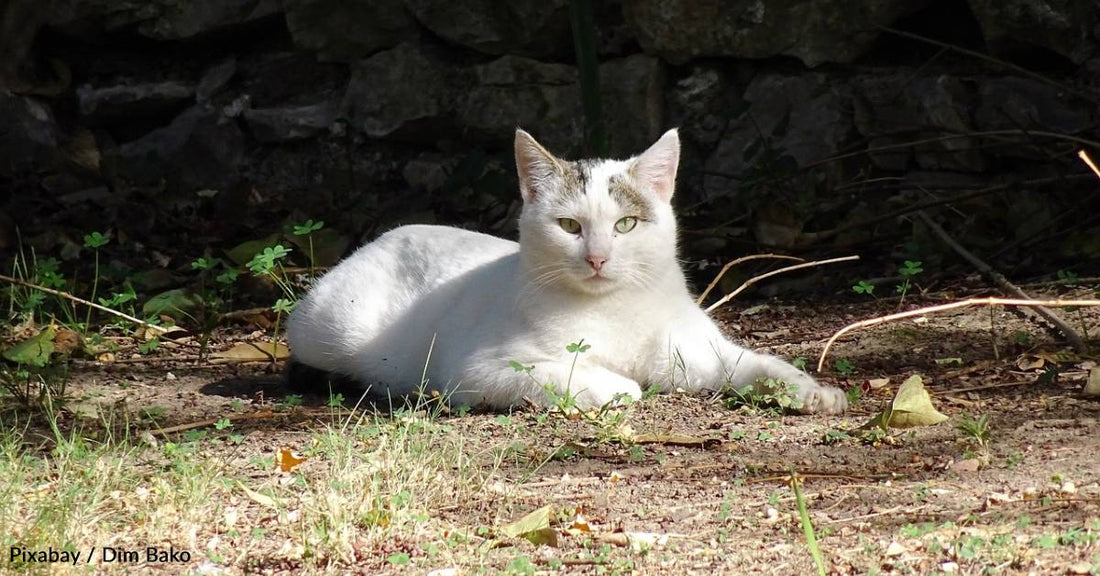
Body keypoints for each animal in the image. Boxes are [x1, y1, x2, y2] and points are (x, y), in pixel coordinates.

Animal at [286, 129, 849, 413]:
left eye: (625, 224)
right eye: (569, 226)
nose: (597, 257)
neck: (614, 310)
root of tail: (384, 235)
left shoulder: (697, 352)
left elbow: (758, 365)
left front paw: (812, 391)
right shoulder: (477, 370)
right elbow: (565, 374)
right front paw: (618, 387)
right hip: (332, 330)